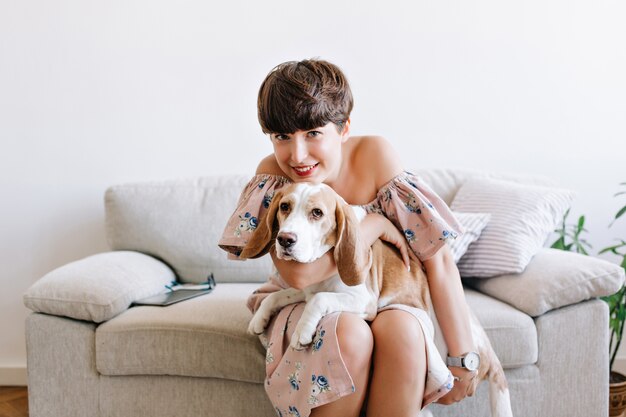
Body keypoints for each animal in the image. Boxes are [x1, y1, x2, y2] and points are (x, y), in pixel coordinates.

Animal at [236, 182, 510, 416]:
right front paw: (260, 318)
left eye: (317, 213)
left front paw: (302, 331)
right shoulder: (305, 289)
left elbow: (320, 299)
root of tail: (490, 354)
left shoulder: (362, 301)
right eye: (285, 207)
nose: (285, 240)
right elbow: (278, 295)